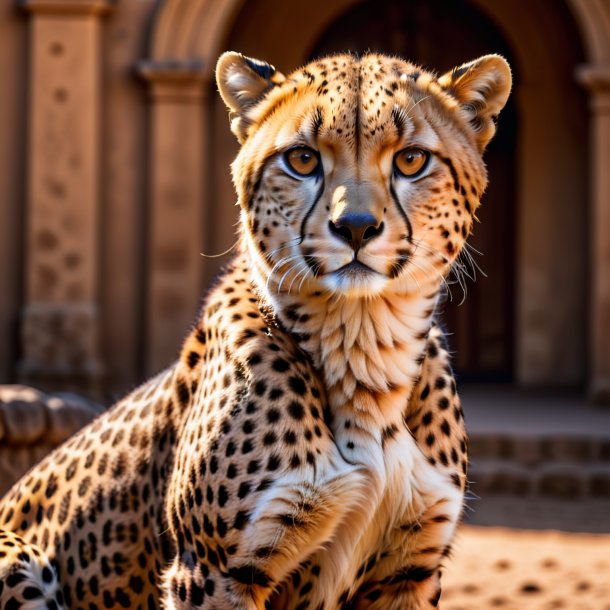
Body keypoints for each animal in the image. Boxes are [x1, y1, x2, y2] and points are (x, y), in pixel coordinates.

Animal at [0, 52, 508, 608]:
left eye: (412, 160)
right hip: (16, 555)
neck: (366, 350)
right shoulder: (212, 571)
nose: (355, 227)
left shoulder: (409, 571)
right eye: (302, 159)